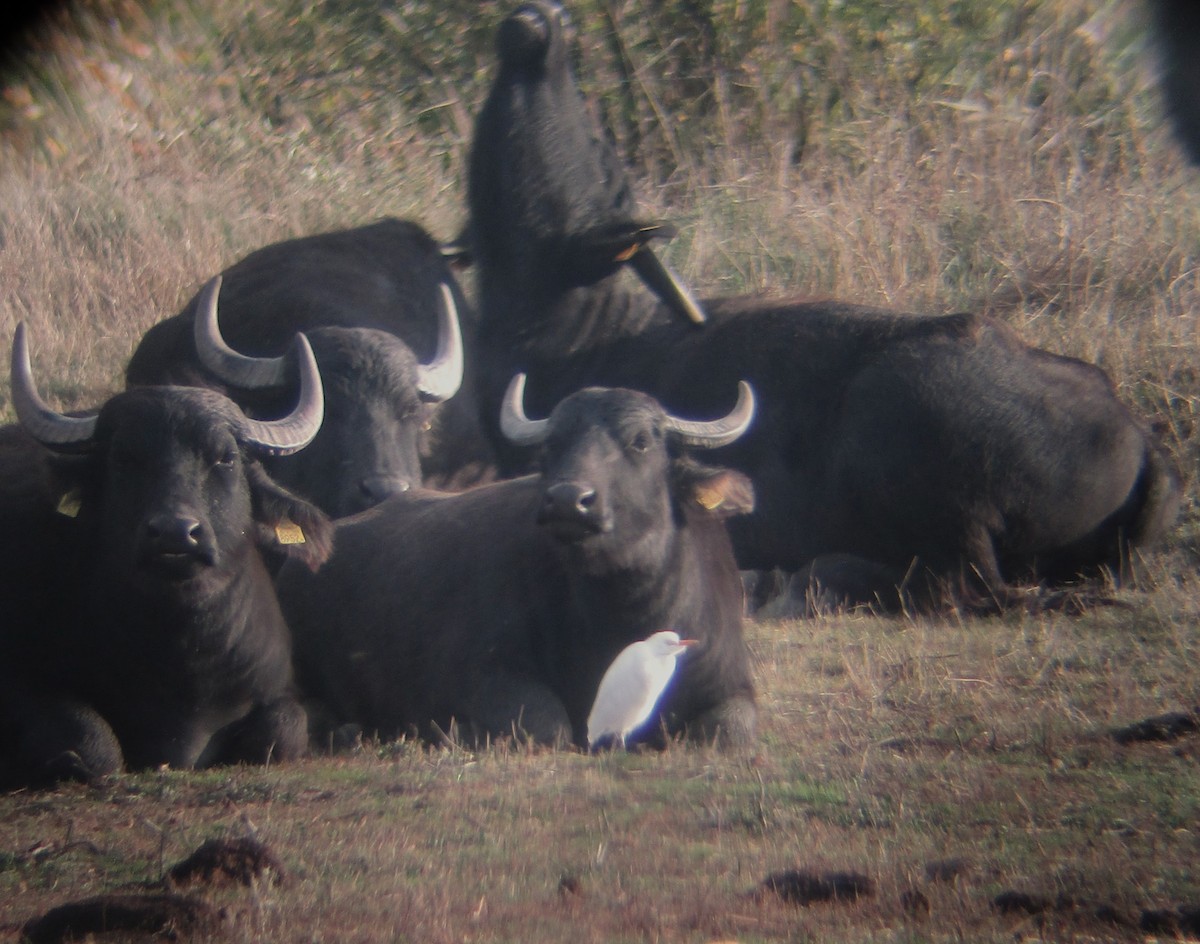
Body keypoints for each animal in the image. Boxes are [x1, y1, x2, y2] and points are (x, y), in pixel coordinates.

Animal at [0, 323, 333, 787]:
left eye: (224, 457)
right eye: (124, 457)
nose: (176, 534)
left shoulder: (281, 691)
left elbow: (282, 731)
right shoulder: (19, 684)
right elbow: (95, 745)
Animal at [275, 376, 758, 750]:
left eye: (640, 441)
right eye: (554, 444)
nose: (568, 500)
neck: (620, 618)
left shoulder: (730, 684)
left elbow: (732, 732)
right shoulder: (483, 675)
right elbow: (550, 727)